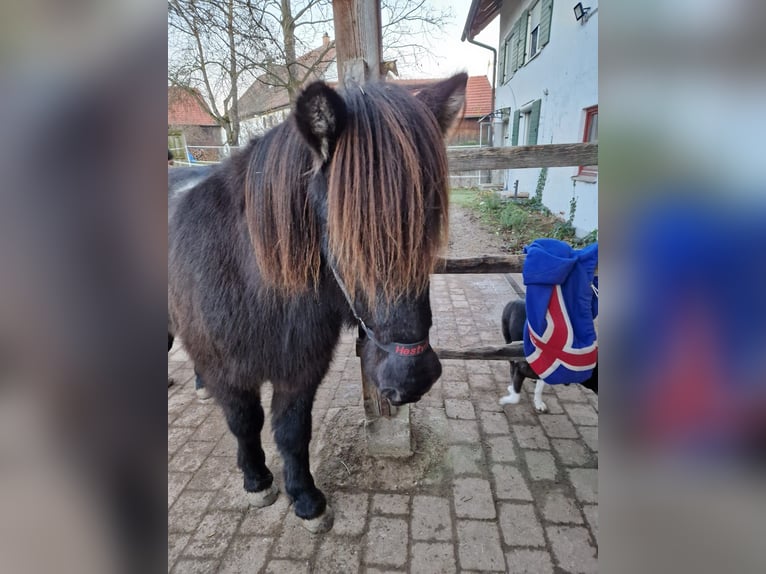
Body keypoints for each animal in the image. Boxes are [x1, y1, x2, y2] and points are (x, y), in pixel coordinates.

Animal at [168, 73, 468, 536]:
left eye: (430, 223)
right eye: (347, 232)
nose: (414, 378)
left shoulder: (299, 370)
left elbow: (292, 432)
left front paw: (306, 499)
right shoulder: (228, 373)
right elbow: (244, 423)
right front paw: (257, 480)